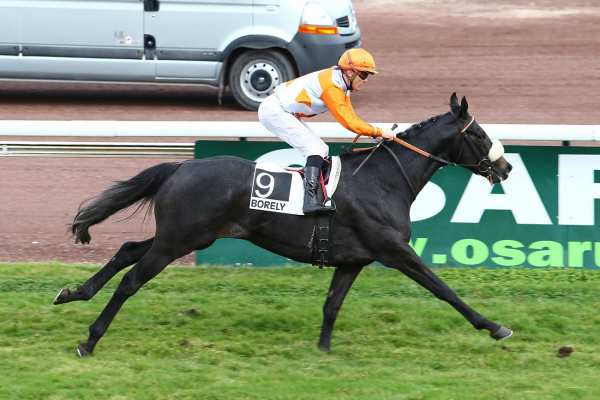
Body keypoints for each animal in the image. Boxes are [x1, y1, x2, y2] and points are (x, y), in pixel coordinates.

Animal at [54, 93, 513, 357]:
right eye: (479, 134)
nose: (506, 167)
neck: (384, 180)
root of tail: (179, 167)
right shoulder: (395, 252)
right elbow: (444, 289)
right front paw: (495, 327)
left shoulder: (353, 260)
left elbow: (332, 305)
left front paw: (323, 351)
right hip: (179, 240)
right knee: (132, 279)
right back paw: (89, 340)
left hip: (183, 234)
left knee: (127, 250)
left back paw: (73, 293)